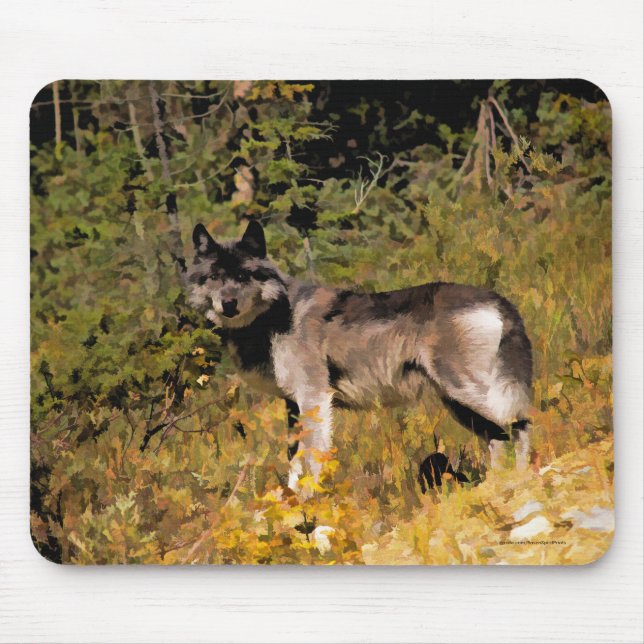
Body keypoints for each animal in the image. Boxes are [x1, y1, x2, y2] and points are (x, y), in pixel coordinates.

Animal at [188, 220, 533, 491]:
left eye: (244, 276)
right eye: (214, 276)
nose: (228, 304)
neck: (275, 318)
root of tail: (497, 300)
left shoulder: (314, 399)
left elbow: (313, 462)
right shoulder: (293, 406)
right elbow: (295, 465)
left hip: (472, 394)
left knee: (521, 425)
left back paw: (525, 480)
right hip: (459, 404)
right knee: (499, 438)